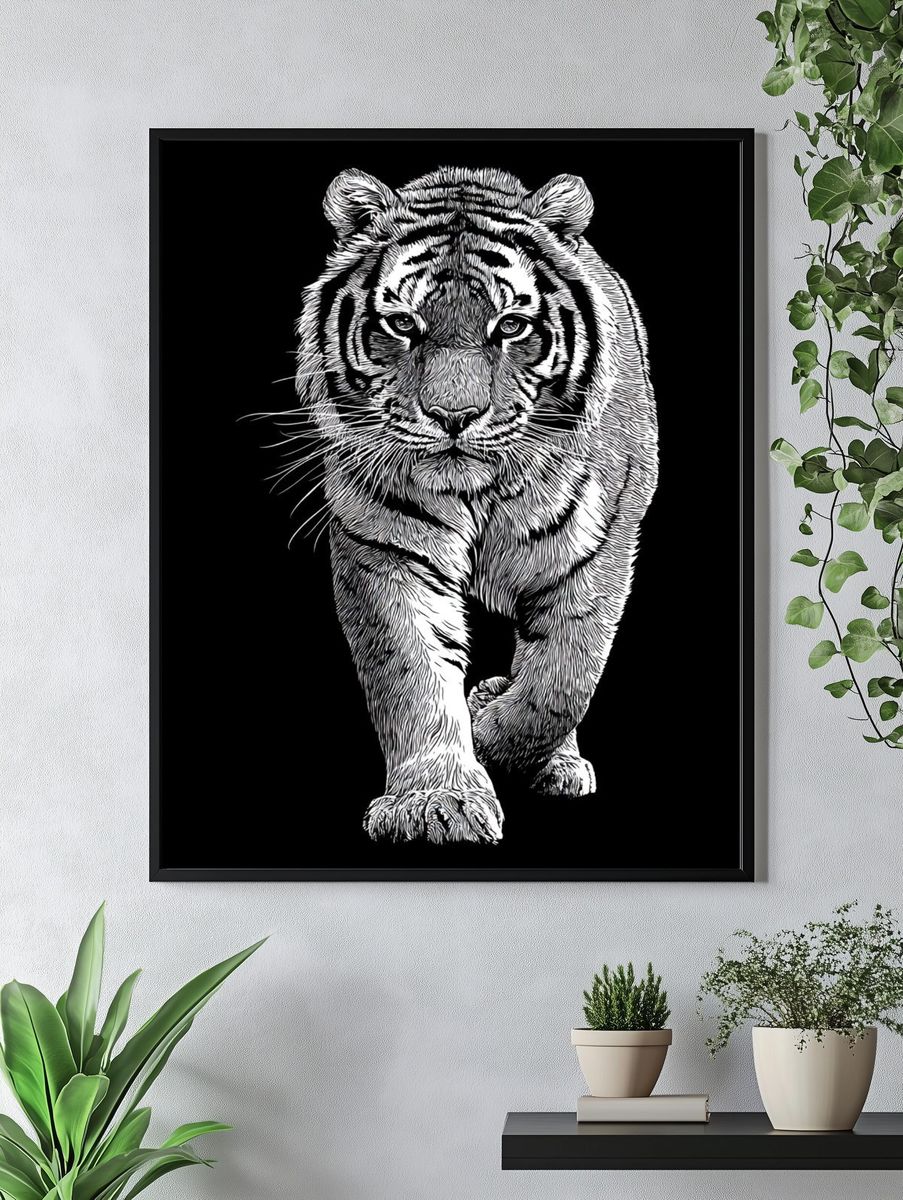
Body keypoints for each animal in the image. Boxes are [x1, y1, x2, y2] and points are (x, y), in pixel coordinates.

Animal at [291, 164, 658, 845]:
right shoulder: (383, 548)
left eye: (510, 327)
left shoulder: (597, 552)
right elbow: (409, 673)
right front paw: (439, 801)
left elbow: (560, 681)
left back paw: (555, 761)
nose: (453, 415)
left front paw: (488, 728)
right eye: (402, 325)